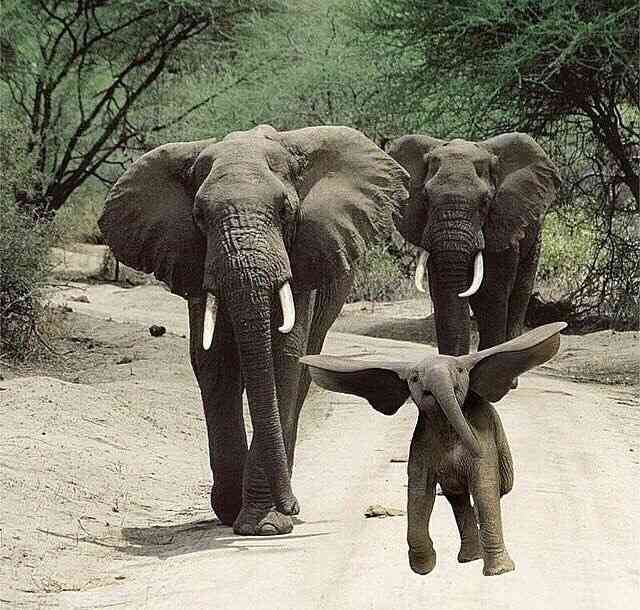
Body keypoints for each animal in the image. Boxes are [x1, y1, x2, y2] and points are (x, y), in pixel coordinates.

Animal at [98, 124, 409, 535]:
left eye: (285, 211)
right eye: (199, 216)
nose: (294, 506)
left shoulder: (302, 256)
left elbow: (282, 358)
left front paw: (264, 525)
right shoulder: (193, 260)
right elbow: (213, 361)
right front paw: (231, 510)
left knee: (302, 370)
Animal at [302, 322, 566, 576]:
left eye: (460, 371)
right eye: (414, 378)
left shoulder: (483, 437)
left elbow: (484, 487)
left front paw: (500, 572)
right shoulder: (422, 444)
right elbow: (419, 493)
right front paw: (423, 568)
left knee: (493, 491)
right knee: (458, 498)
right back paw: (469, 558)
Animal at [388, 133, 561, 356]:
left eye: (486, 201)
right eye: (425, 198)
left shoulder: (502, 225)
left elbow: (491, 294)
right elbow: (442, 292)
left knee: (518, 296)